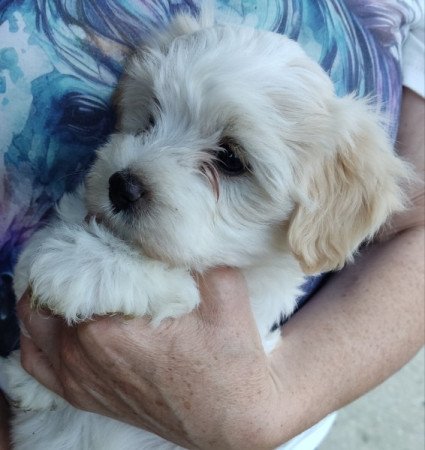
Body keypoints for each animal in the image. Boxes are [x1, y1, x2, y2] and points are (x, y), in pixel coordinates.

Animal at [1, 7, 410, 450]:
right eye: (151, 118)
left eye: (231, 159)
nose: (121, 186)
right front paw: (27, 378)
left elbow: (184, 282)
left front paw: (82, 263)